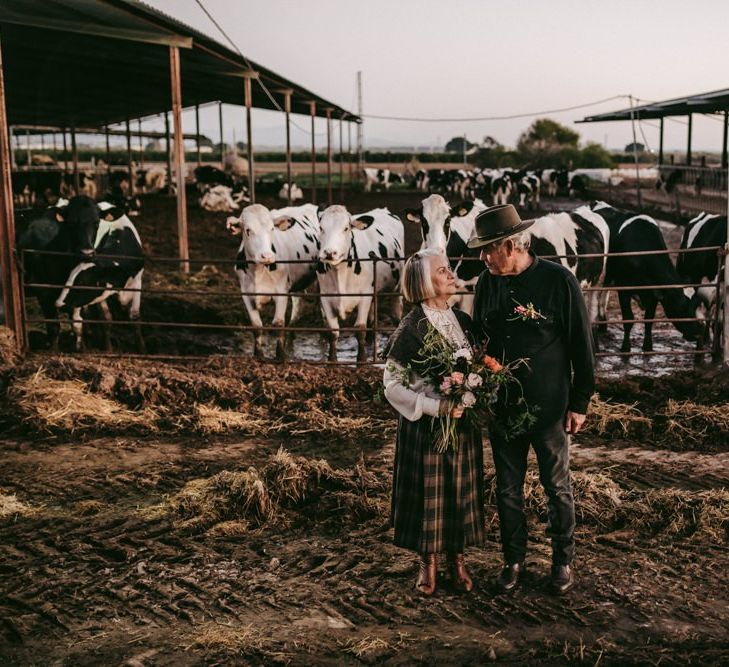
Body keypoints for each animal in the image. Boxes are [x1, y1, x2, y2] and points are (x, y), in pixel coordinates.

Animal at [16, 196, 101, 350]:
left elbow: (77, 322)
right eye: (72, 222)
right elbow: (54, 326)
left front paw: (81, 348)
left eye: (97, 222)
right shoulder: (42, 289)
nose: (87, 253)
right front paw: (53, 350)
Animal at [54, 202, 145, 354]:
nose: (59, 304)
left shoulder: (137, 282)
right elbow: (106, 318)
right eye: (70, 278)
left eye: (83, 281)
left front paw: (142, 349)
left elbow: (135, 316)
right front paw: (108, 348)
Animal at [226, 204, 320, 360]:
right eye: (248, 230)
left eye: (271, 229)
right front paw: (258, 355)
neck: (258, 272)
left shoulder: (281, 292)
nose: (267, 256)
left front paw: (280, 356)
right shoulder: (246, 293)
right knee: (298, 304)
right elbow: (256, 325)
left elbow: (278, 323)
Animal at [316, 206, 404, 362]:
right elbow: (333, 331)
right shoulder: (325, 297)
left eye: (346, 228)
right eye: (321, 228)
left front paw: (361, 358)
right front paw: (332, 359)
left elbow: (360, 328)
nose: (329, 253)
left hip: (396, 289)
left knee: (396, 314)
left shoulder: (364, 297)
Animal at [592, 200, 704, 352]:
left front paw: (648, 347)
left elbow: (649, 320)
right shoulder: (624, 289)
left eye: (697, 304)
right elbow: (628, 318)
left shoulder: (653, 293)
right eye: (682, 306)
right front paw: (625, 347)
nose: (698, 333)